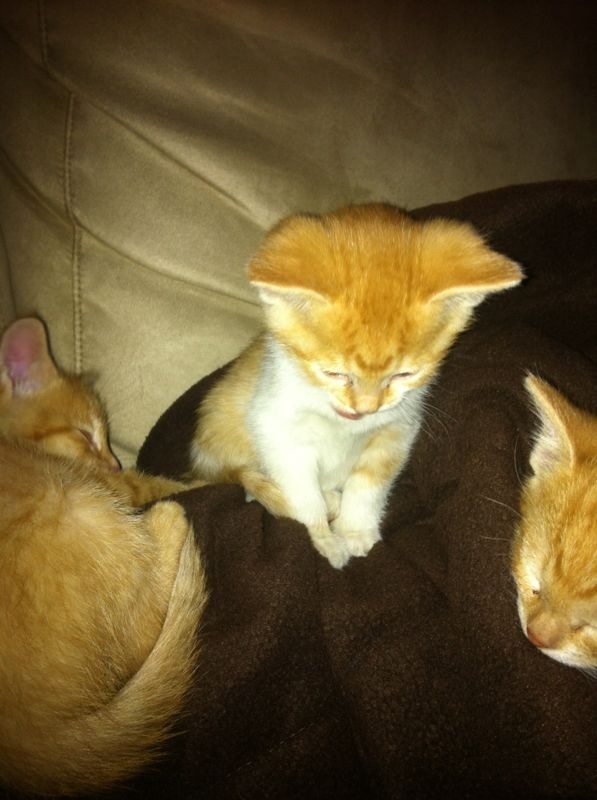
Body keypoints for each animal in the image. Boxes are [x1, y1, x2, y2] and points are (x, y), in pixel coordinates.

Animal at [0, 317, 208, 796]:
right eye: (83, 433)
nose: (114, 463)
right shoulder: (108, 486)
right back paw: (169, 521)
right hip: (77, 504)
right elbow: (150, 483)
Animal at [191, 203, 523, 568]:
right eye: (334, 373)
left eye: (404, 375)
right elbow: (300, 493)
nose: (365, 408)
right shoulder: (274, 424)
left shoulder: (398, 428)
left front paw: (355, 531)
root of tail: (205, 461)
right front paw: (322, 539)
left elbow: (370, 481)